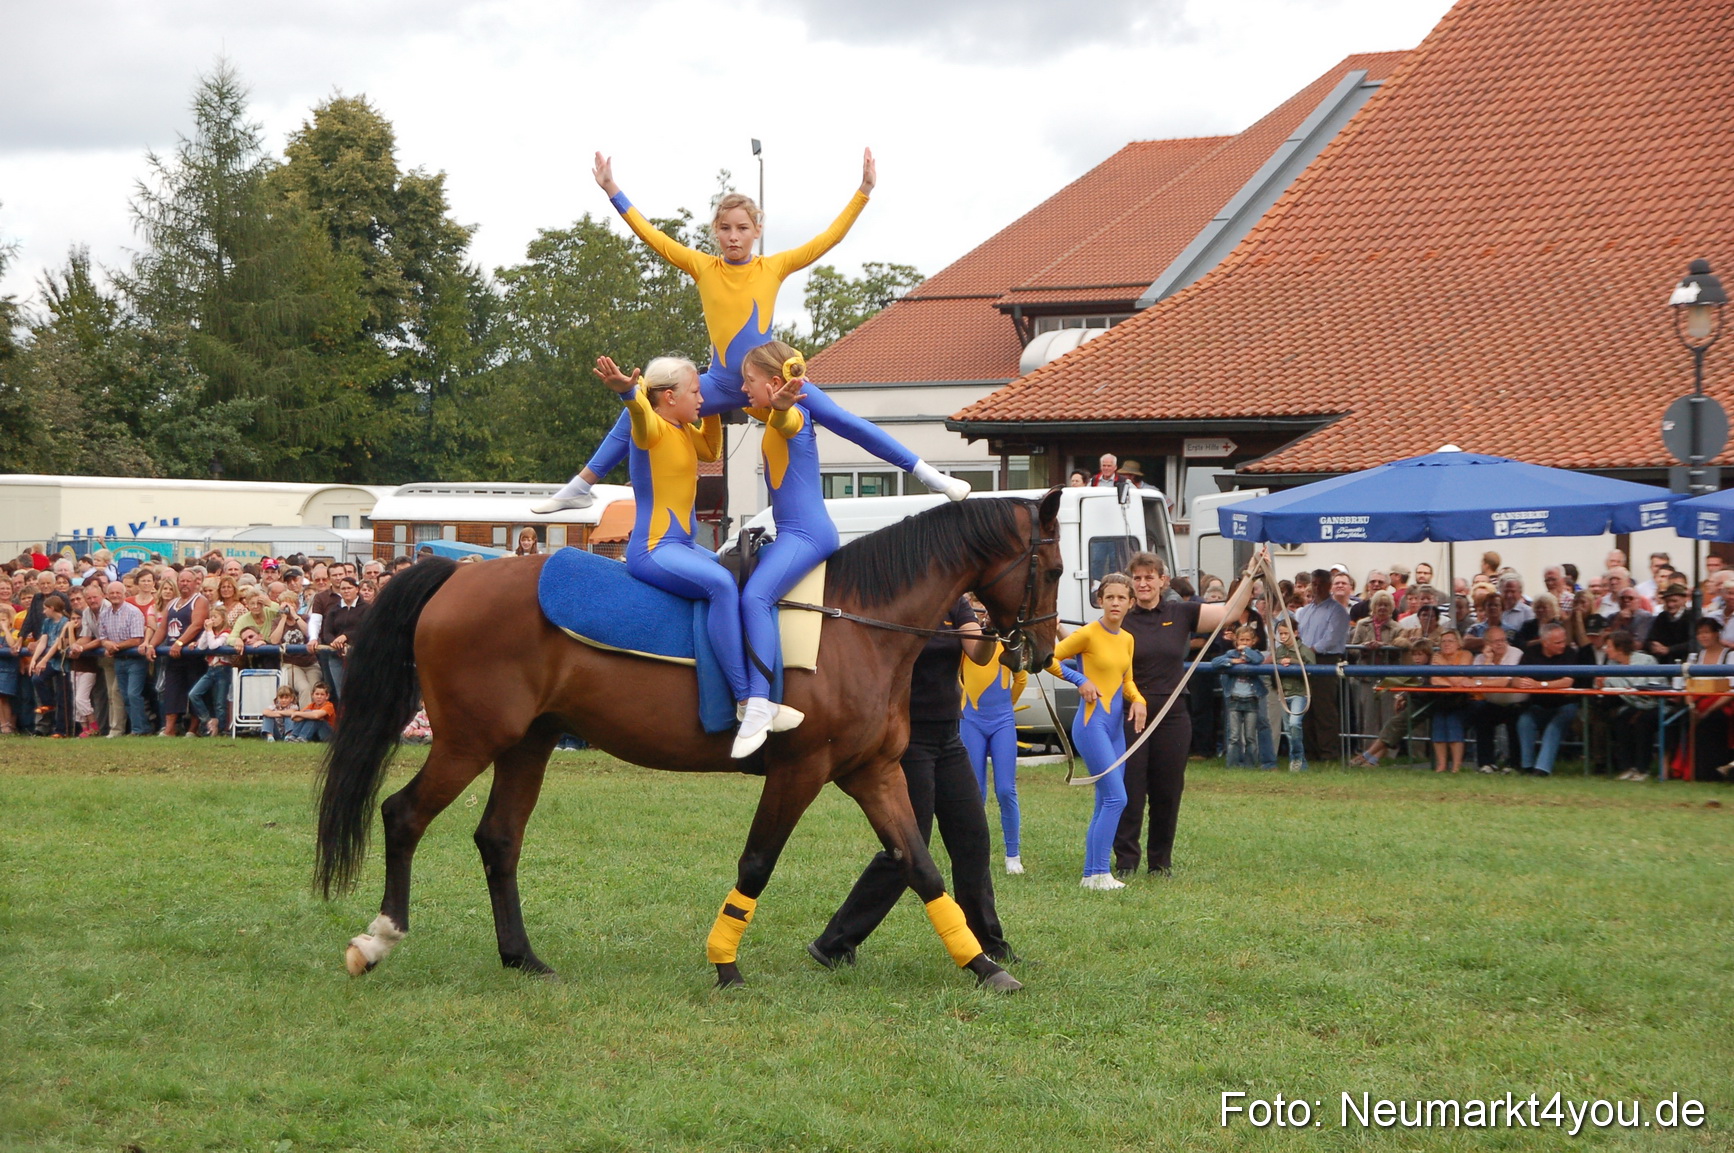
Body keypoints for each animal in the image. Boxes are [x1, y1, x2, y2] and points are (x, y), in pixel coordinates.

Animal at [314, 489, 1062, 990]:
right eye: (1051, 569)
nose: (1044, 650)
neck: (855, 622)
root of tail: (460, 573)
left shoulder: (872, 772)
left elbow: (920, 863)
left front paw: (983, 964)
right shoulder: (802, 769)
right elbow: (757, 863)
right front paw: (725, 963)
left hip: (527, 742)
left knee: (498, 839)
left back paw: (522, 956)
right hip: (471, 740)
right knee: (403, 815)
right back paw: (377, 940)